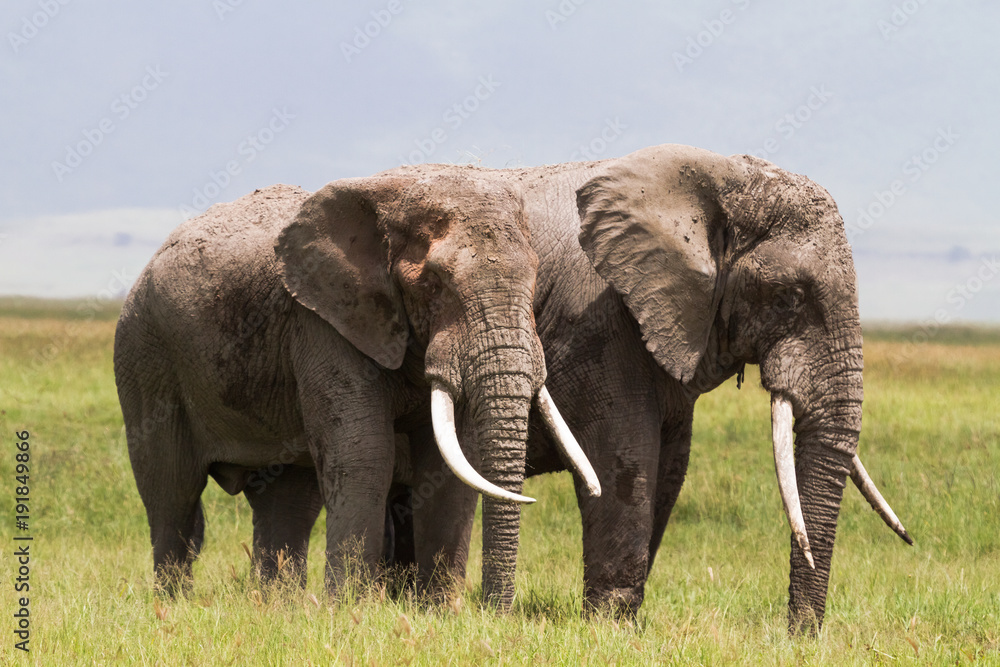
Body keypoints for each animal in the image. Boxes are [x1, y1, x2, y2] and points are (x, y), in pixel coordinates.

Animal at [113, 171, 600, 604]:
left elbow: (448, 464)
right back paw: (173, 605)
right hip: (145, 356)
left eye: (535, 280)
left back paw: (276, 608)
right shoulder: (323, 323)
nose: (494, 610)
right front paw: (350, 610)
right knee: (171, 490)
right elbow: (365, 454)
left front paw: (441, 612)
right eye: (433, 283)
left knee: (288, 498)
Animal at [384, 144, 910, 632]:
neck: (719, 178)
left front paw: (623, 623)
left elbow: (671, 467)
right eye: (788, 298)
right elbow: (625, 457)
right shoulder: (596, 322)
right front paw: (609, 627)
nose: (799, 638)